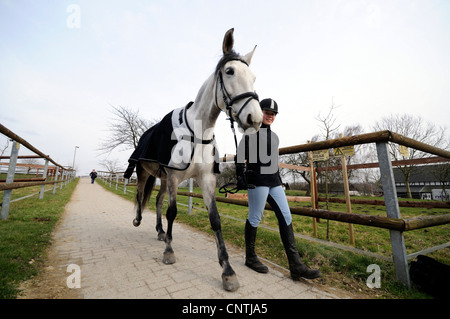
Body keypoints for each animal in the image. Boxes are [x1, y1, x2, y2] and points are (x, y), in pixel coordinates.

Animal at [125, 28, 262, 292]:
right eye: (230, 71)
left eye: (253, 77)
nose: (255, 118)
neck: (198, 132)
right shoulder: (174, 176)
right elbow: (172, 212)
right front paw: (169, 252)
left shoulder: (205, 179)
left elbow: (215, 219)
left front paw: (228, 272)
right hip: (145, 172)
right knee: (140, 193)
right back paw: (137, 220)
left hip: (164, 179)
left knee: (157, 200)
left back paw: (160, 232)